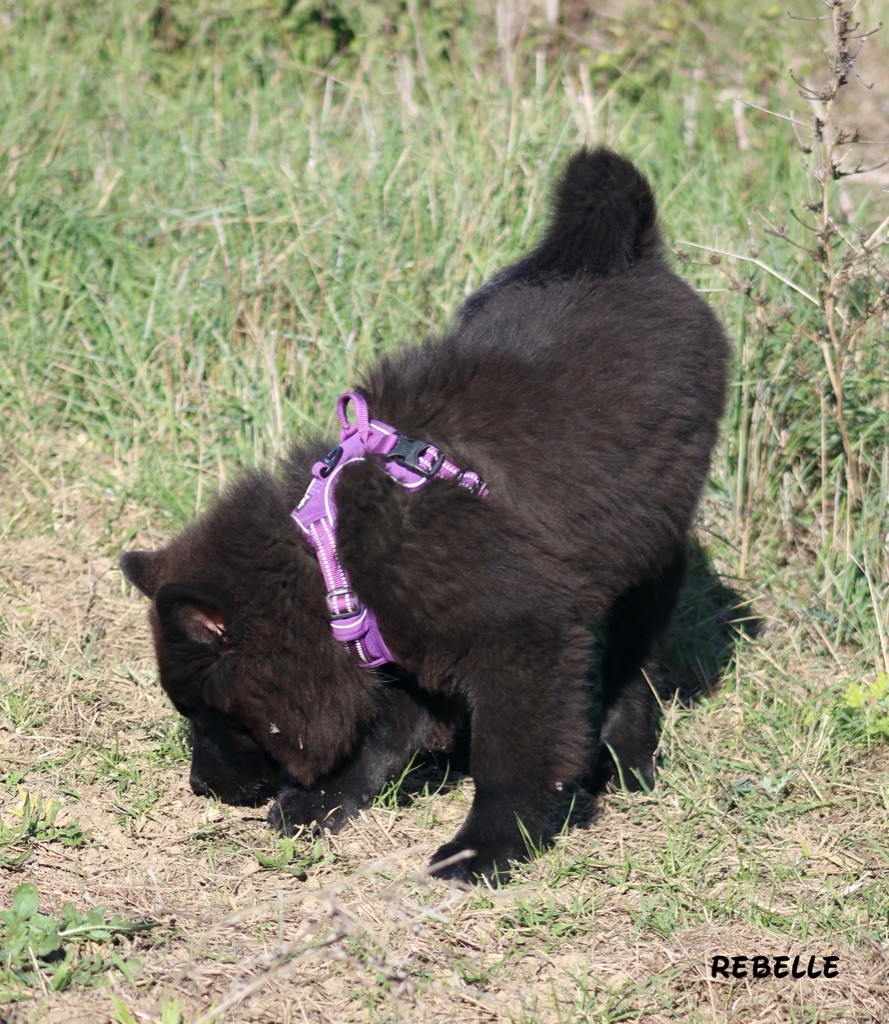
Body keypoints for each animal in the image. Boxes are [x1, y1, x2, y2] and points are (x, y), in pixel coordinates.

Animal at [119, 148, 729, 884]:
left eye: (209, 713)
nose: (200, 787)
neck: (334, 556)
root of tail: (631, 259)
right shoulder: (397, 642)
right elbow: (385, 736)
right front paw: (326, 800)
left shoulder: (525, 645)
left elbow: (508, 761)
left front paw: (485, 847)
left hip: (646, 552)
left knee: (633, 662)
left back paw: (628, 757)